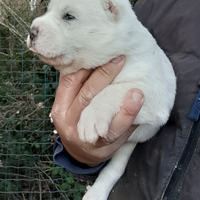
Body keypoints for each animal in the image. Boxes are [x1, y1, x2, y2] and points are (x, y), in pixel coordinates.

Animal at [26, 0, 175, 199]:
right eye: (48, 11)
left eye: (69, 16)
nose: (31, 31)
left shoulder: (154, 94)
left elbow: (114, 90)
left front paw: (92, 117)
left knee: (114, 169)